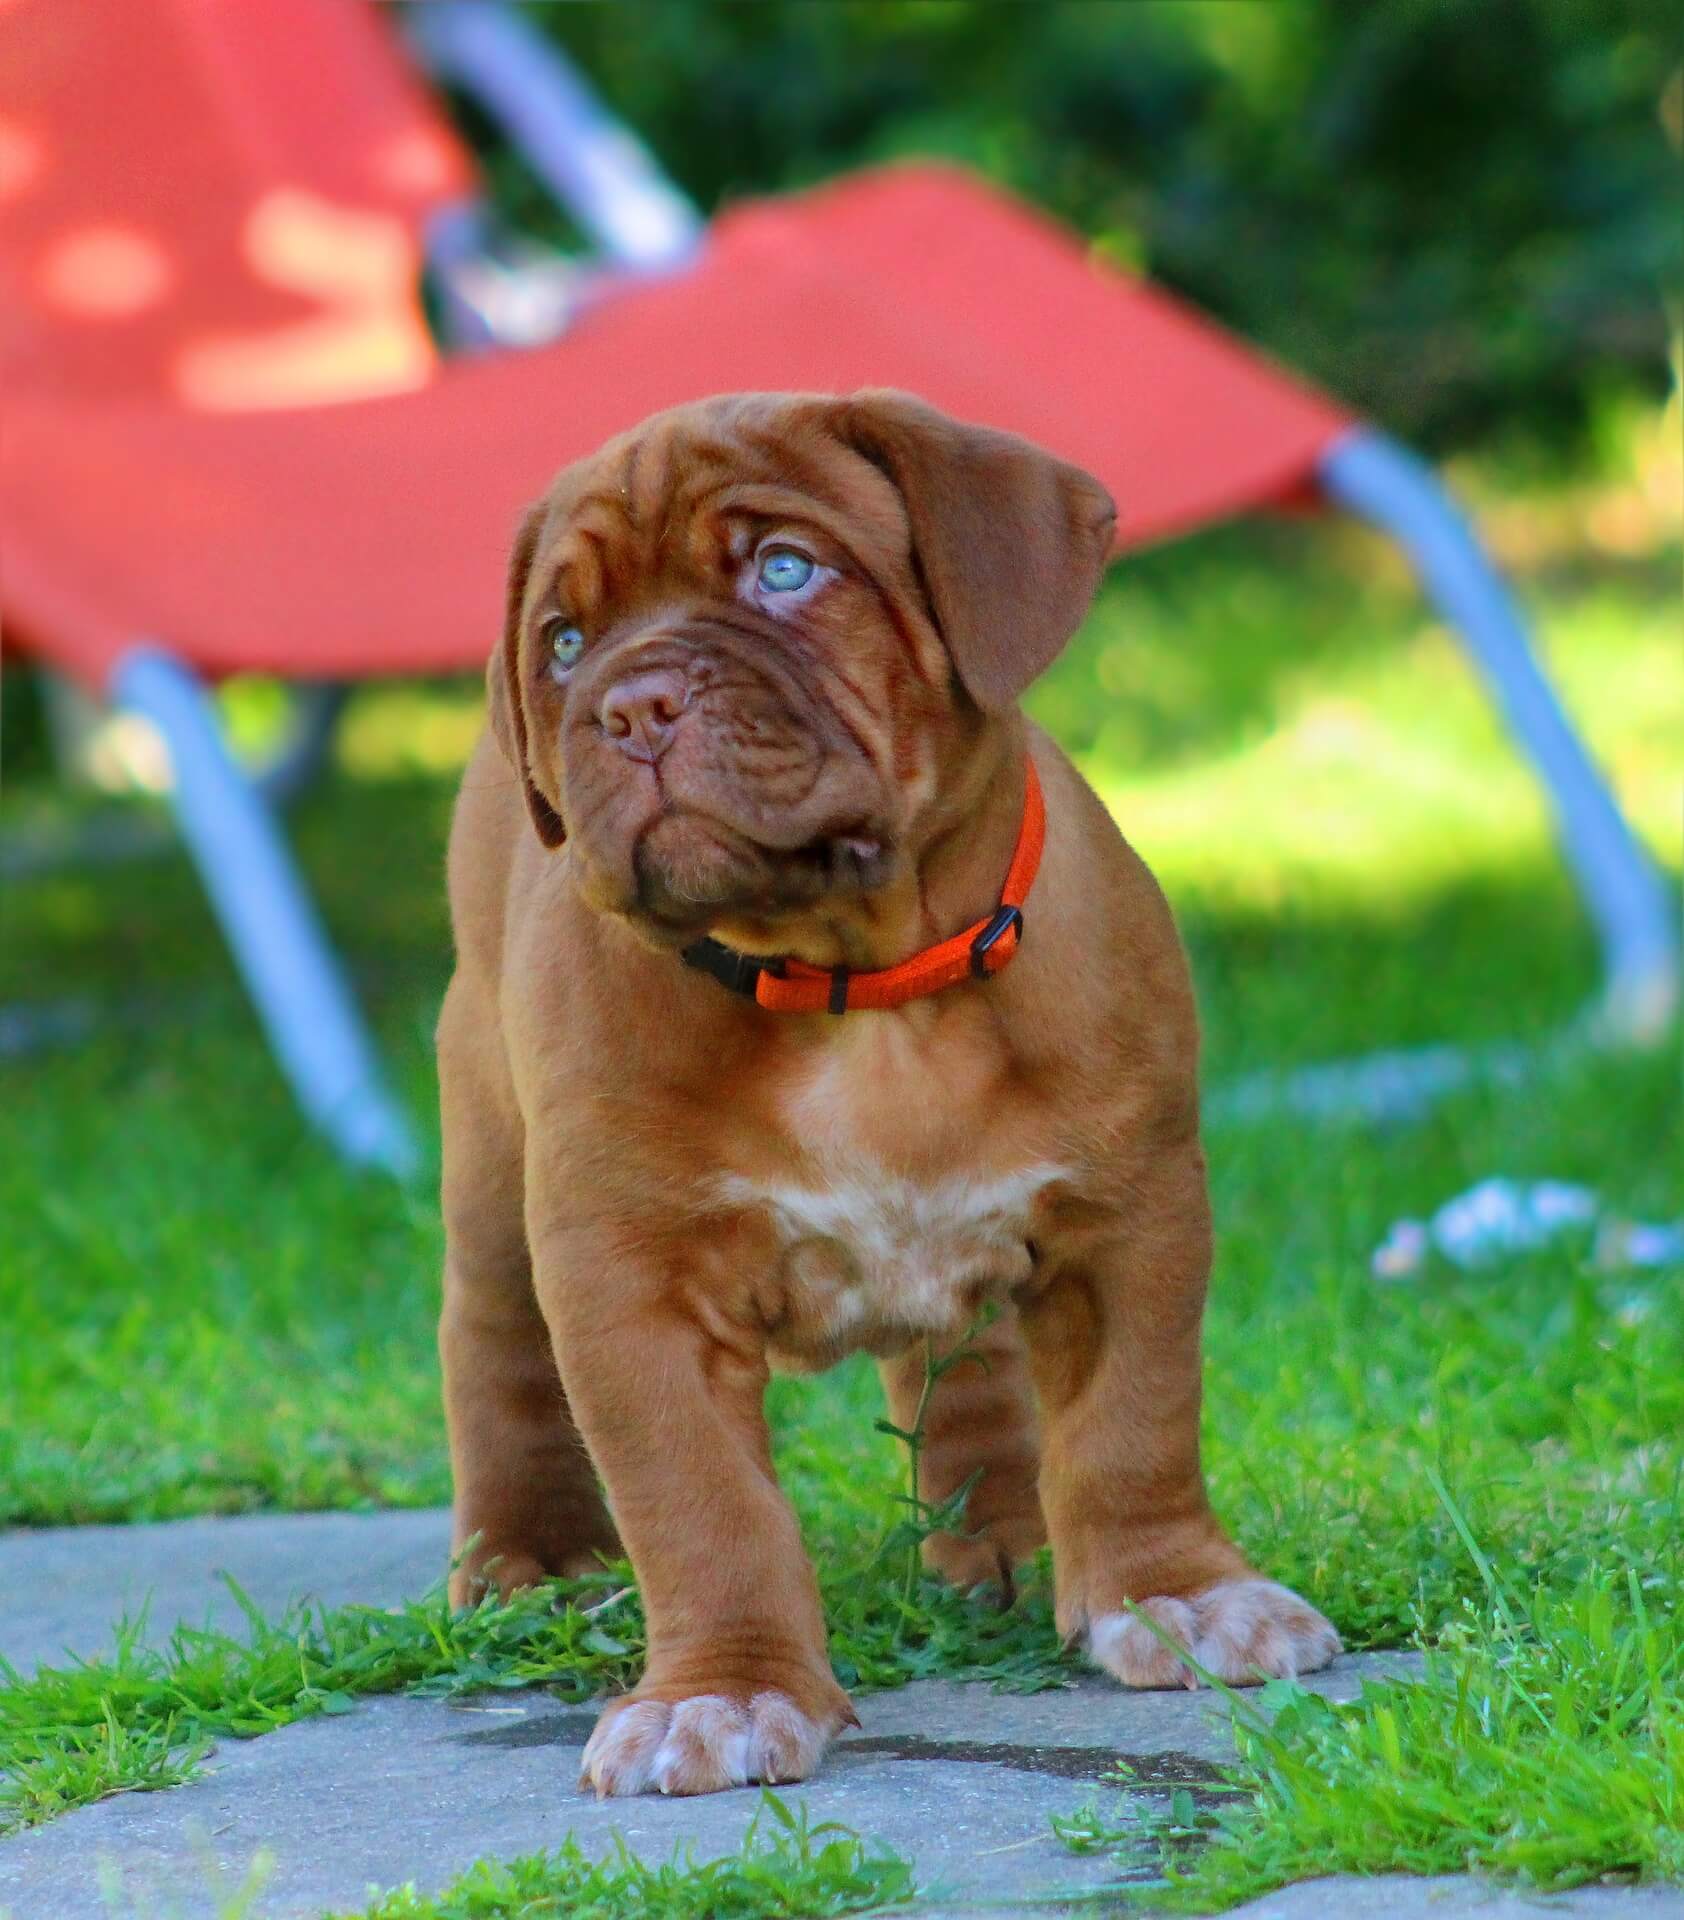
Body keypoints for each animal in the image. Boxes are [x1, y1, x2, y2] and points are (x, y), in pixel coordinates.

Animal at [437, 389, 1344, 1797]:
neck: (860, 989)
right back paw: (528, 1563)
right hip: (490, 1167)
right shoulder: (629, 1283)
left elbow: (1133, 1422)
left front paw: (1173, 1596)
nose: (629, 706)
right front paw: (723, 1692)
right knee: (493, 1349)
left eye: (785, 569)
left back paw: (1001, 1539)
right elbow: (700, 1505)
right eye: (567, 642)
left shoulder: (1128, 1217)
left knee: (965, 1373)